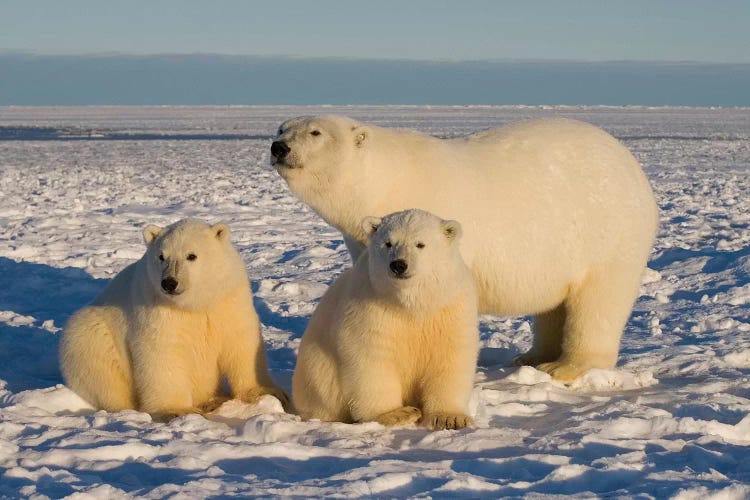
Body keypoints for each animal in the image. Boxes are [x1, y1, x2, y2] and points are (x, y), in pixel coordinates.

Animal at [58, 217, 286, 420]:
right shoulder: (158, 308)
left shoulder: (227, 298)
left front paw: (267, 392)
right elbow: (163, 352)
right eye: (161, 256)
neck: (195, 303)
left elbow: (240, 341)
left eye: (191, 255)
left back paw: (212, 400)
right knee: (102, 369)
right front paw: (176, 410)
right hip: (90, 332)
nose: (169, 283)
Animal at [274, 116, 660, 382]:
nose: (278, 147)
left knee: (599, 300)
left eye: (315, 132)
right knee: (554, 303)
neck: (389, 181)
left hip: (609, 234)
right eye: (282, 127)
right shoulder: (364, 241)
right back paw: (532, 357)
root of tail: (633, 167)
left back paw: (566, 367)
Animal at [290, 208, 478, 430]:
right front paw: (398, 414)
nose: (399, 265)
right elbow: (371, 356)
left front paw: (450, 417)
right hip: (316, 374)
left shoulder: (449, 308)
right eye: (388, 243)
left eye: (420, 244)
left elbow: (450, 355)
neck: (411, 304)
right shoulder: (371, 307)